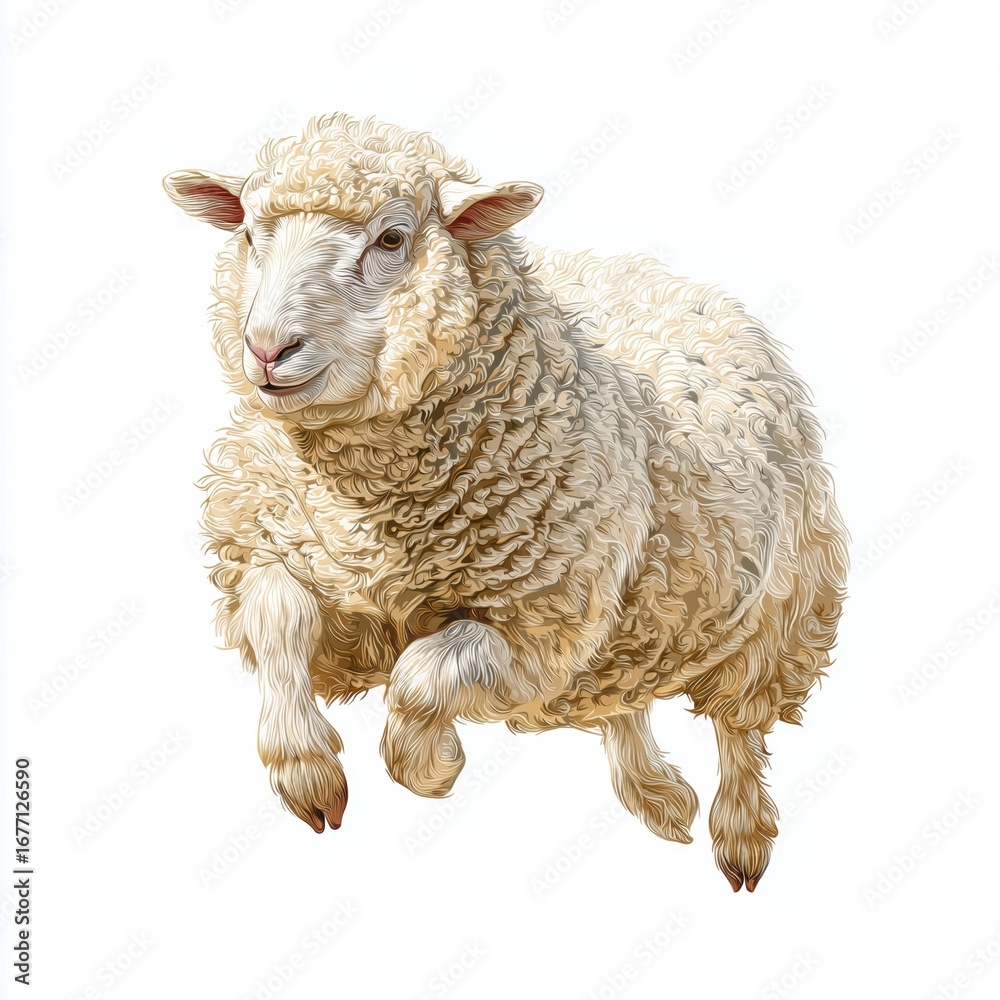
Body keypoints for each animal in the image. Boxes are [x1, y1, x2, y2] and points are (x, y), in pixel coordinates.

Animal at [164, 112, 848, 891]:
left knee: (740, 727)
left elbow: (422, 674)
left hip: (781, 612)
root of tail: (663, 277)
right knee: (625, 697)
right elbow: (280, 616)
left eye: (392, 238)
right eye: (250, 233)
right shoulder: (280, 549)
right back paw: (658, 795)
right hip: (641, 609)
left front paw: (429, 765)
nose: (269, 349)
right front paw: (305, 771)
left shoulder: (537, 628)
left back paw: (740, 832)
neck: (365, 504)